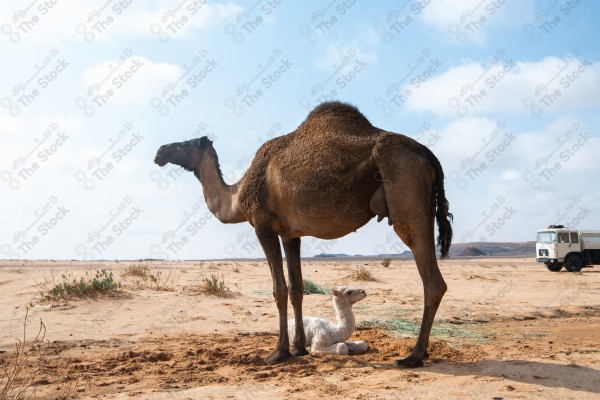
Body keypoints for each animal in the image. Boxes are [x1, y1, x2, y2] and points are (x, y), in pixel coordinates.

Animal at [152, 101, 452, 368]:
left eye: (183, 144)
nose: (159, 151)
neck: (236, 197)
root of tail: (427, 153)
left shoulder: (263, 226)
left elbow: (279, 289)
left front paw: (279, 352)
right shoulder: (290, 234)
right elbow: (297, 288)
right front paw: (298, 349)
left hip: (407, 200)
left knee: (432, 281)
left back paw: (413, 356)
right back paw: (421, 352)